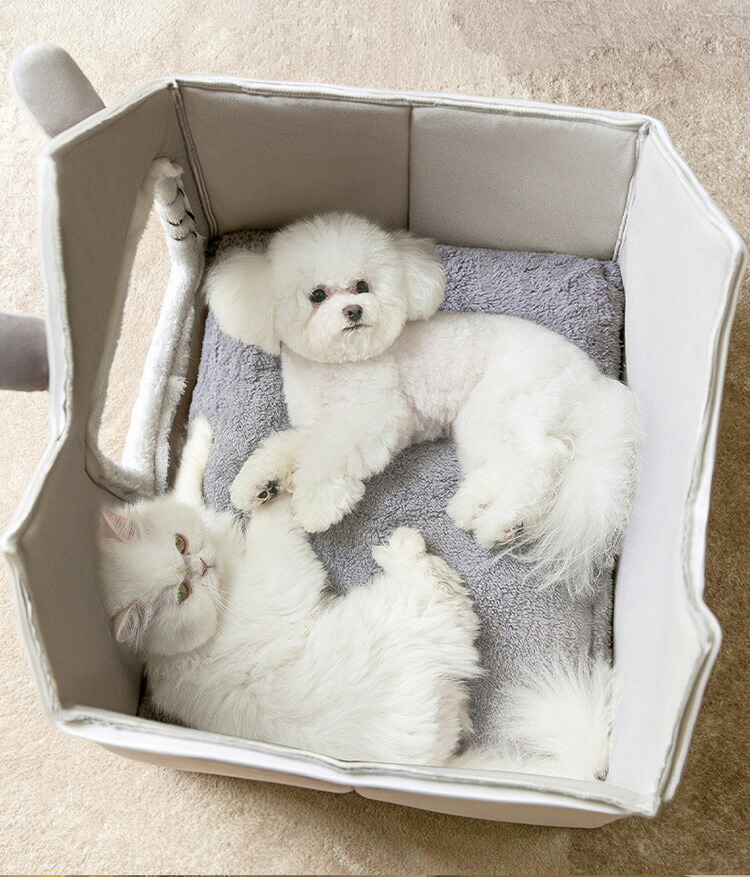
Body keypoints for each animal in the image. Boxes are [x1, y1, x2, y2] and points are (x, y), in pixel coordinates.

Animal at [98, 416, 613, 777]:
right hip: (414, 612)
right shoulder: (280, 574)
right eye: (182, 593)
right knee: (447, 593)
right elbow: (275, 521)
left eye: (180, 544)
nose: (200, 566)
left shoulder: (197, 512)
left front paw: (230, 458)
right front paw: (276, 489)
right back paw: (398, 548)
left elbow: (190, 479)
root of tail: (434, 766)